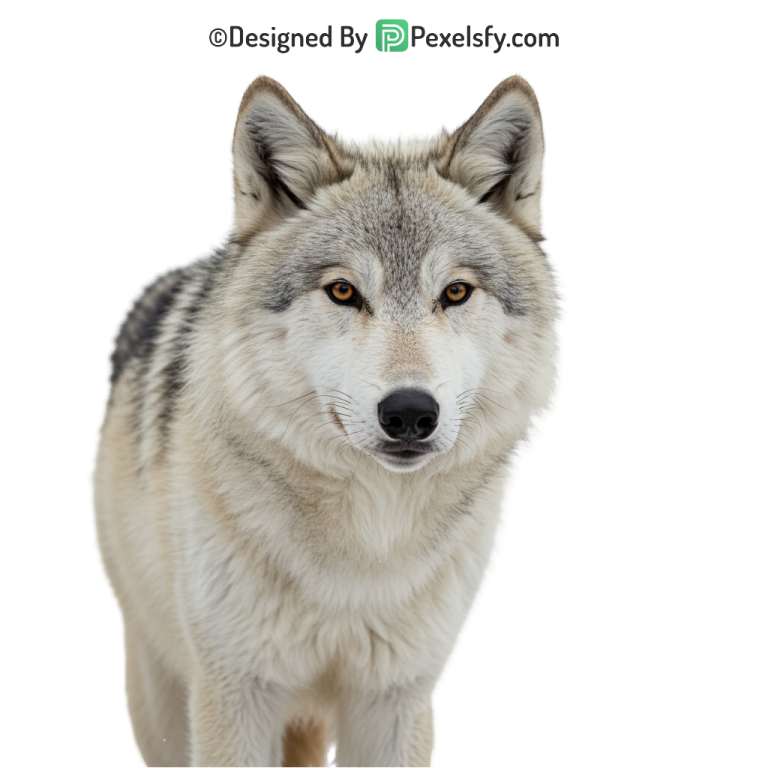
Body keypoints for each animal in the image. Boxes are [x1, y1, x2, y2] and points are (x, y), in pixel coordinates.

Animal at [87, 72, 567, 767]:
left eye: (455, 292)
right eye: (343, 291)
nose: (409, 412)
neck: (364, 552)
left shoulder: (398, 699)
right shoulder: (235, 695)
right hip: (162, 693)